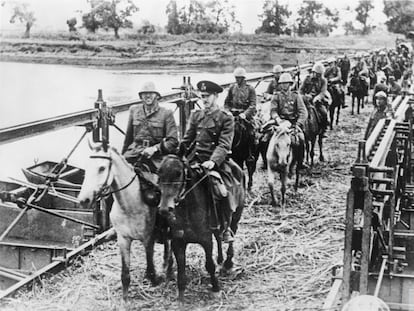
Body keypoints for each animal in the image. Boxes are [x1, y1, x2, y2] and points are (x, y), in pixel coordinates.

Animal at [77, 144, 171, 304]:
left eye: (102, 168)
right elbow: (125, 273)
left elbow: (150, 265)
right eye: (86, 167)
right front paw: (125, 299)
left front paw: (154, 279)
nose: (83, 199)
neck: (130, 205)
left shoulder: (148, 238)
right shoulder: (123, 239)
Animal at [157, 155, 244, 304]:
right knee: (219, 237)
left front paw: (216, 289)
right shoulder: (178, 242)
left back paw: (227, 264)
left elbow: (210, 265)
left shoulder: (206, 240)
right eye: (159, 173)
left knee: (231, 234)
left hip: (237, 214)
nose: (164, 209)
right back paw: (221, 259)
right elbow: (181, 269)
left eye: (178, 173)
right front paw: (181, 298)